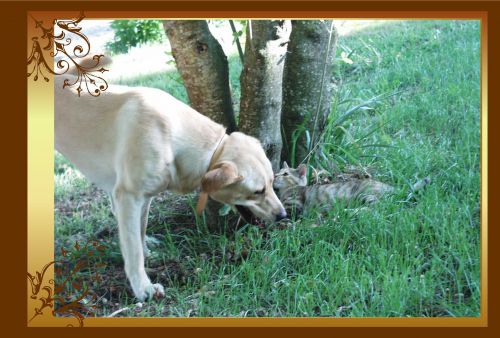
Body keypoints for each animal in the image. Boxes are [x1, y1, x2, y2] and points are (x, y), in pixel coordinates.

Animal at [54, 67, 286, 300]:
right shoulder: (129, 196)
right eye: (257, 191)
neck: (171, 137)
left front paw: (147, 252)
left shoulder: (144, 198)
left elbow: (140, 231)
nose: (283, 215)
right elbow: (133, 249)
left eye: (272, 181)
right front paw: (142, 287)